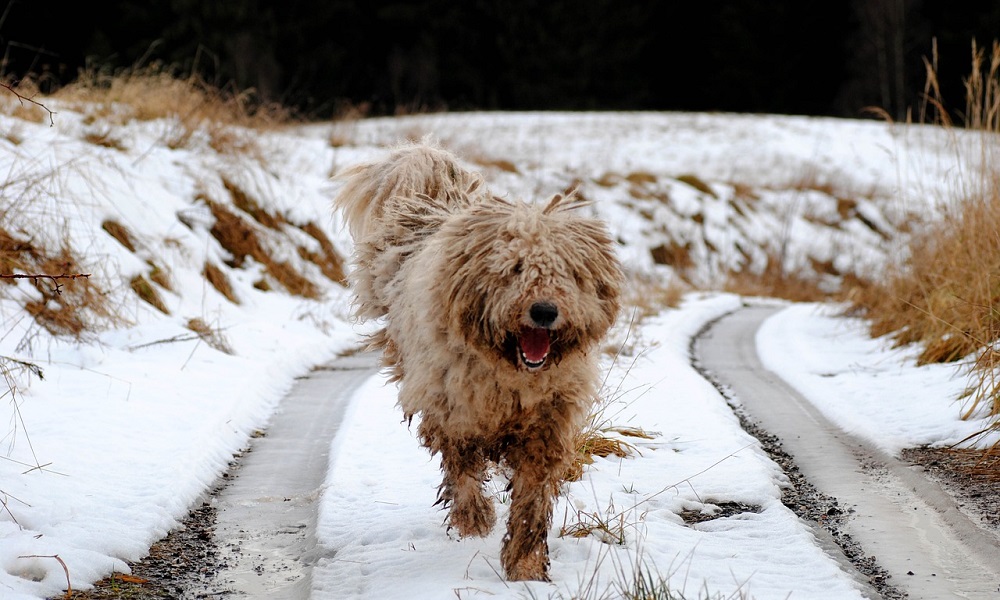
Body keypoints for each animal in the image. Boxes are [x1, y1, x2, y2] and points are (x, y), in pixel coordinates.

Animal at [334, 142, 616, 580]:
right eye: (515, 269)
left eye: (567, 273)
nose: (544, 311)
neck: (511, 373)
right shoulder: (453, 410)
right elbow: (462, 469)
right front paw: (475, 519)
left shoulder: (548, 422)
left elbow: (532, 499)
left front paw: (526, 565)